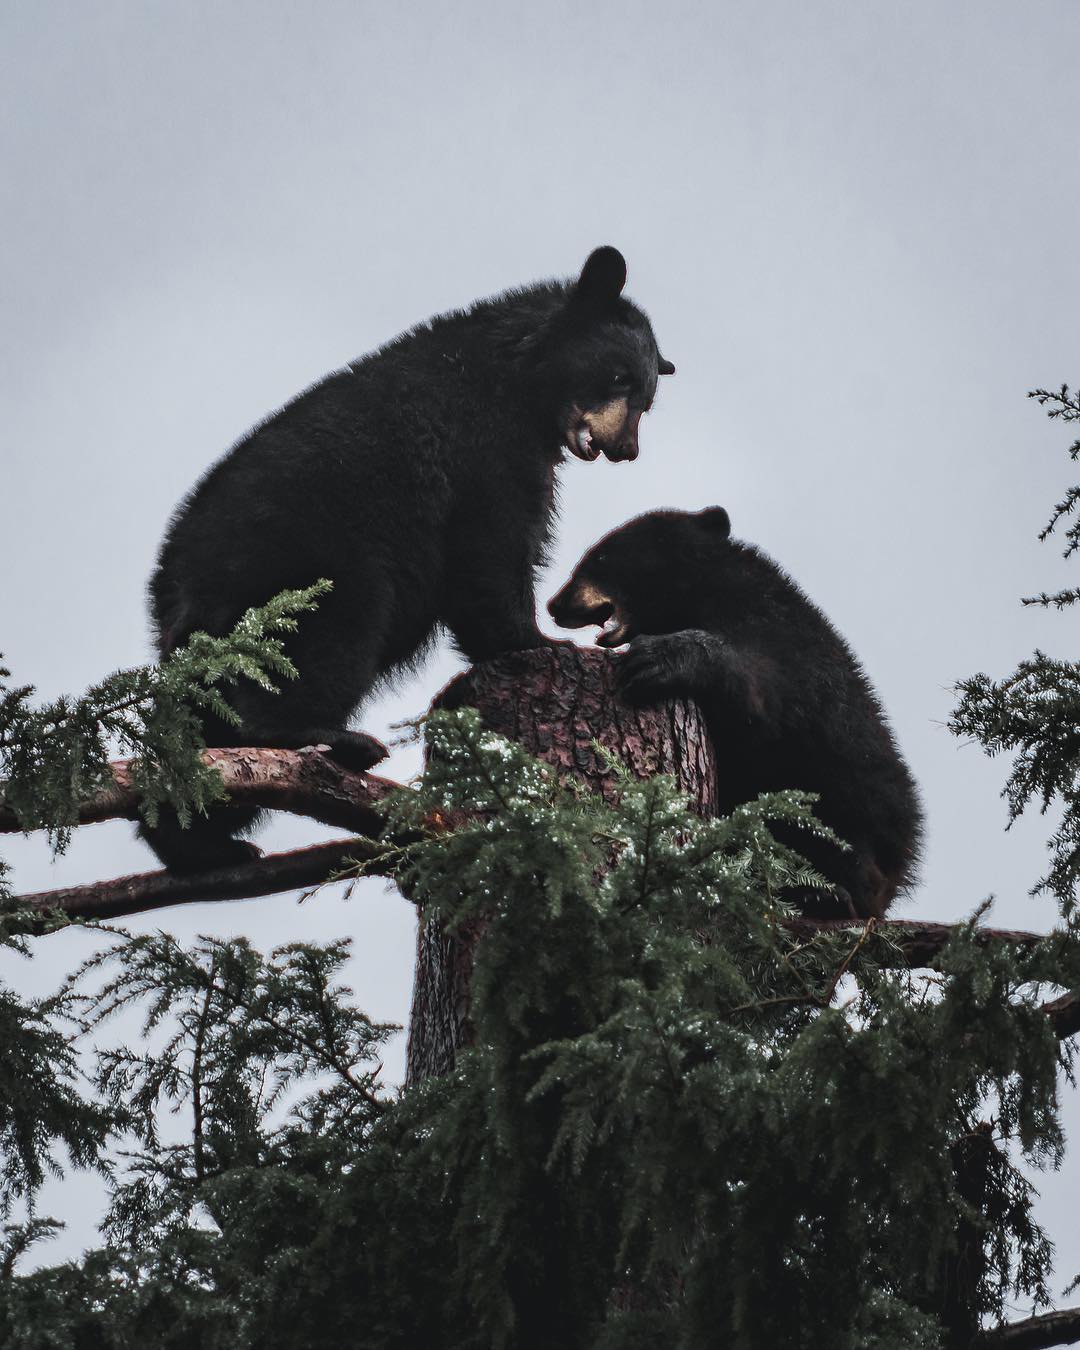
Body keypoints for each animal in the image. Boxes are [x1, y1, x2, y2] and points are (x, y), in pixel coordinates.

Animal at [139, 247, 669, 869]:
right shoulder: (485, 447)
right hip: (307, 561)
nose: (625, 449)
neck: (515, 376)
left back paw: (200, 843)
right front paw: (540, 640)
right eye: (618, 376)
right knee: (334, 634)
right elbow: (492, 548)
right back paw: (328, 740)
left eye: (647, 400)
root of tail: (174, 591)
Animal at [548, 507, 918, 918]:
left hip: (854, 802)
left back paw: (827, 896)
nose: (554, 605)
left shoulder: (781, 636)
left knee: (844, 845)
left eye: (599, 557)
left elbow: (762, 693)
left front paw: (655, 659)